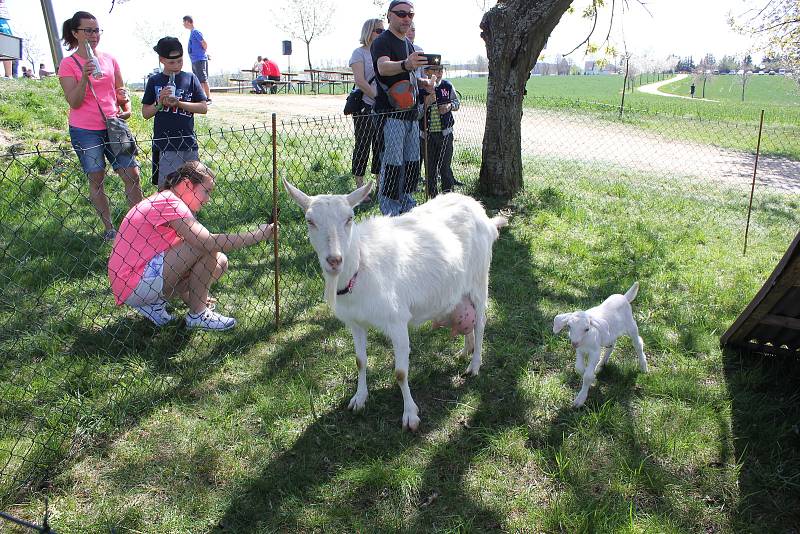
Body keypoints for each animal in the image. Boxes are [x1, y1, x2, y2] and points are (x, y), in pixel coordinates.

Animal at [282, 182, 506, 434]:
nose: (334, 260)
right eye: (309, 220)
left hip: (480, 279)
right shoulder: (355, 323)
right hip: (461, 289)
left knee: (481, 322)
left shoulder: (397, 320)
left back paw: (474, 365)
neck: (361, 268)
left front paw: (410, 415)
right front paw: (359, 398)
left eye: (350, 218)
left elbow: (400, 373)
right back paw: (466, 350)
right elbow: (360, 361)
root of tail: (480, 211)